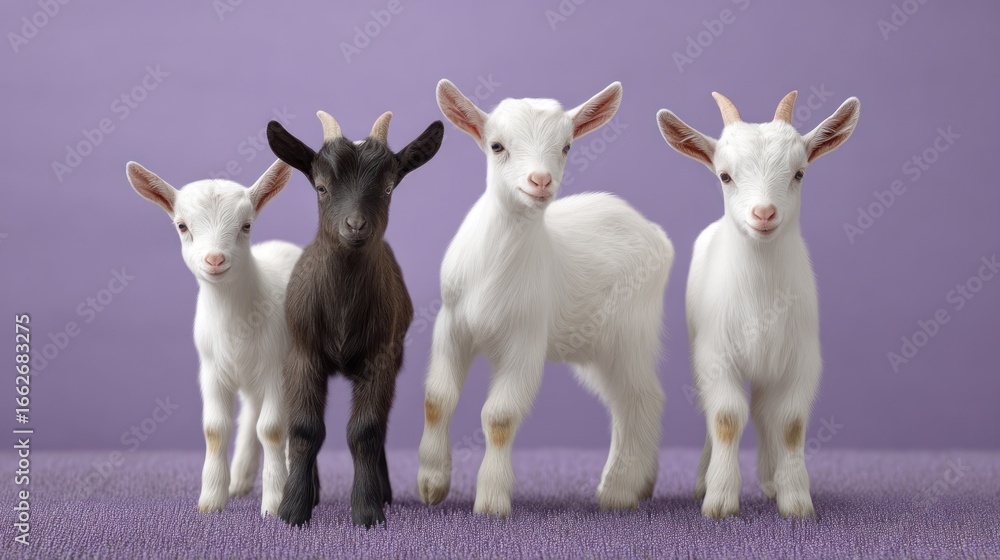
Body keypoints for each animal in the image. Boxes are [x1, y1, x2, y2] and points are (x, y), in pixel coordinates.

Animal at [126, 159, 299, 517]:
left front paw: (274, 504)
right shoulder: (212, 370)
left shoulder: (277, 367)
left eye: (246, 225)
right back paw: (240, 480)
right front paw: (212, 500)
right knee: (250, 415)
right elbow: (215, 430)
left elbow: (273, 429)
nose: (215, 260)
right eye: (182, 226)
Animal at [267, 111, 443, 527]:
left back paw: (384, 491)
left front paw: (367, 510)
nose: (355, 225)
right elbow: (304, 429)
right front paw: (292, 510)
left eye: (389, 187)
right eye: (320, 187)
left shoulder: (380, 358)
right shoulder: (303, 354)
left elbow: (366, 431)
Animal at [418, 80, 674, 517]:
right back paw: (638, 483)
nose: (539, 180)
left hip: (629, 331)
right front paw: (432, 483)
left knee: (642, 397)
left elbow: (499, 418)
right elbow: (438, 398)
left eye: (567, 146)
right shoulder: (452, 323)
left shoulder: (525, 339)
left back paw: (618, 490)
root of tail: (656, 234)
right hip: (595, 347)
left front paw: (491, 500)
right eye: (497, 145)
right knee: (622, 403)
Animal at [656, 91, 860, 518]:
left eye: (799, 173)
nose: (763, 213)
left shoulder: (801, 361)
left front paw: (795, 499)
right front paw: (719, 500)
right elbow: (726, 419)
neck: (760, 298)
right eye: (725, 175)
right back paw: (704, 480)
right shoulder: (716, 356)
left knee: (767, 412)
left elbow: (790, 424)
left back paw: (769, 480)